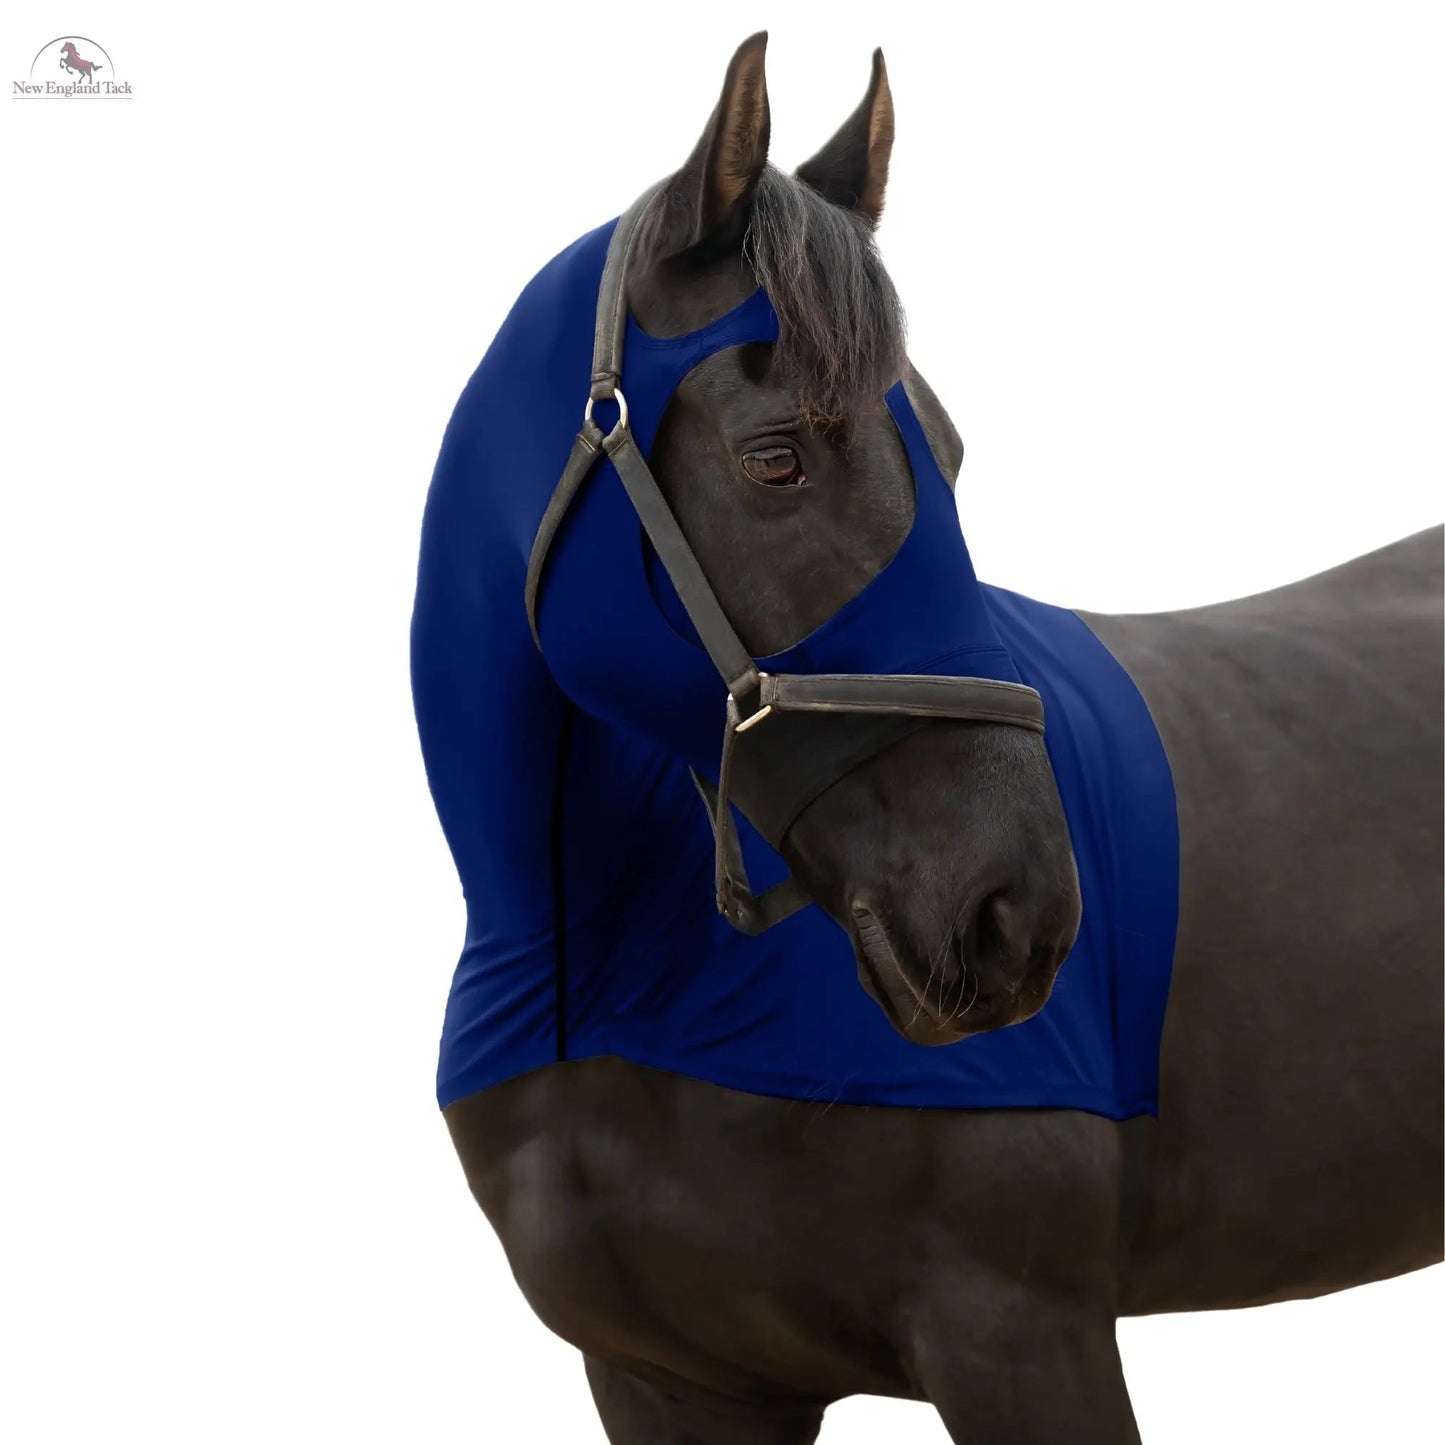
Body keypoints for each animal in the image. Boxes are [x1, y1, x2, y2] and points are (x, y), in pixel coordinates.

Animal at [414, 33, 1443, 1443]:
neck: (619, 988)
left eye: (949, 456)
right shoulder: (666, 1380)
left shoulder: (1017, 1332)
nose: (1015, 911)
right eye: (776, 457)